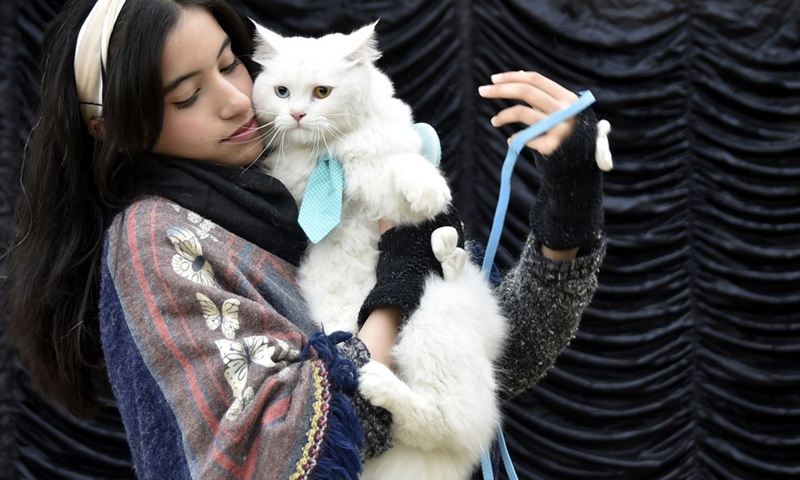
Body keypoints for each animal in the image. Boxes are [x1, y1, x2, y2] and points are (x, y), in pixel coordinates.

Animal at [253, 22, 510, 480]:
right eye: (282, 92)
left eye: (322, 92)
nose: (297, 115)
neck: (330, 151)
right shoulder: (303, 183)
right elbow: (377, 170)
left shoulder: (385, 169)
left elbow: (398, 166)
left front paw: (430, 195)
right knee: (444, 422)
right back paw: (376, 379)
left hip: (435, 318)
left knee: (454, 421)